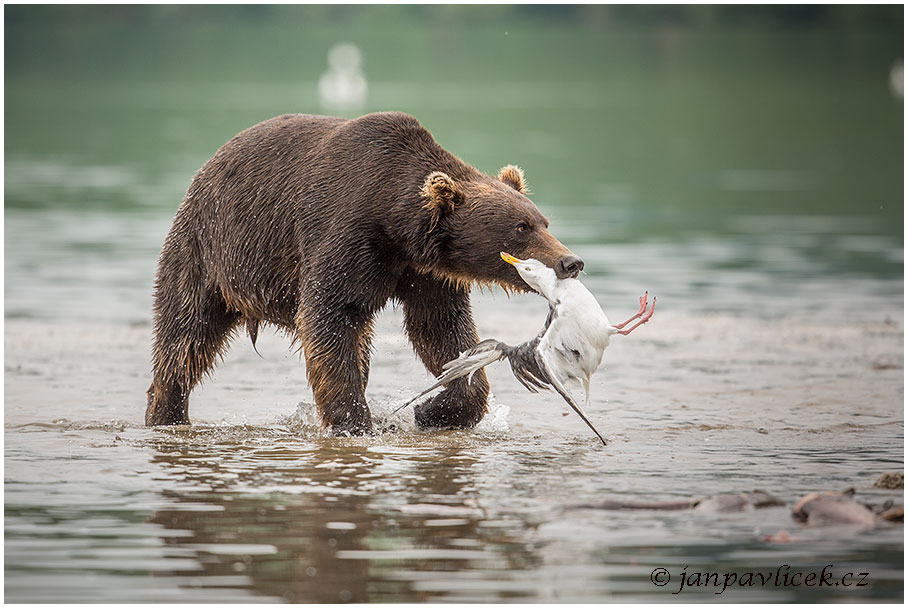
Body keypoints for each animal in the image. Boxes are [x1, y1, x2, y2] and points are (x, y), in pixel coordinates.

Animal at [142, 111, 580, 434]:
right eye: (521, 228)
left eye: (543, 221)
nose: (571, 262)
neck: (396, 227)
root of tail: (205, 169)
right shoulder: (344, 233)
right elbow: (328, 319)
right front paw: (355, 421)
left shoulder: (427, 274)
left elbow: (442, 331)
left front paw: (434, 410)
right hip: (208, 252)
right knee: (185, 336)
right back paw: (166, 412)